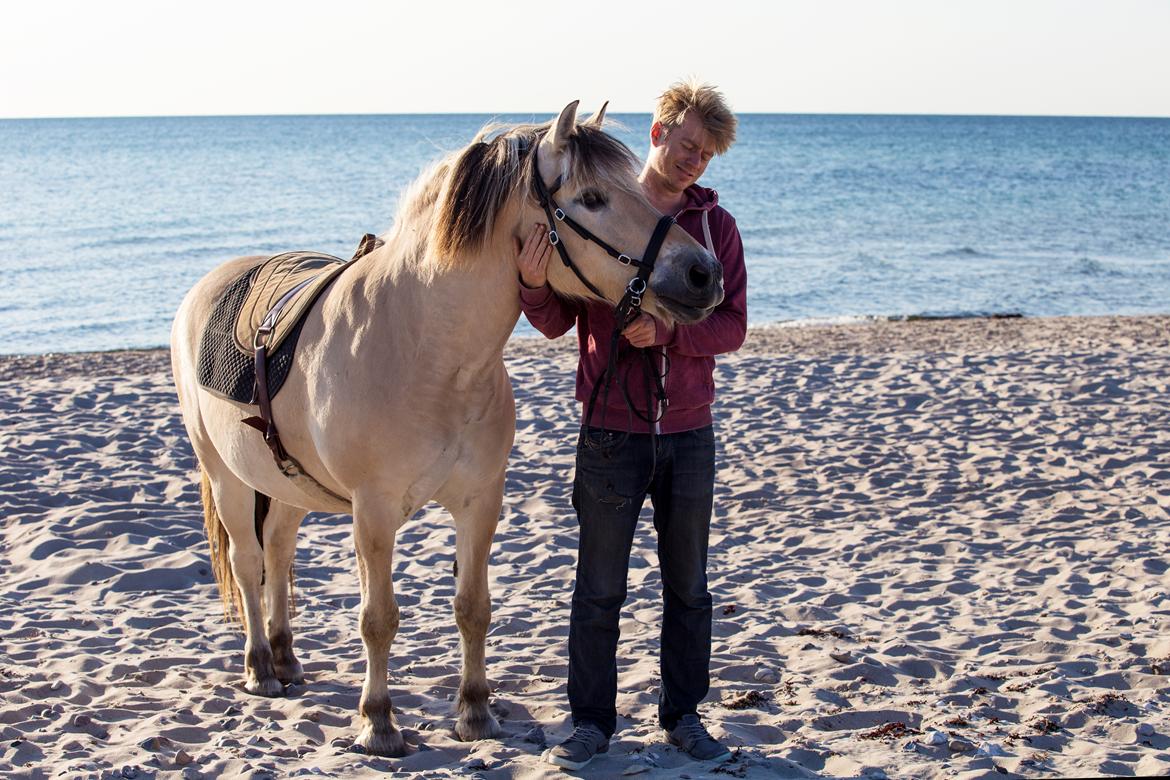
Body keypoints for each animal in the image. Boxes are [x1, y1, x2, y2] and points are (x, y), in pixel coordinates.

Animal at [170, 100, 725, 753]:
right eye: (591, 198)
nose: (703, 272)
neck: (424, 348)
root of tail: (208, 284)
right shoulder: (374, 511)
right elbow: (378, 619)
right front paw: (379, 722)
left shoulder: (479, 502)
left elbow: (472, 608)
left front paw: (475, 711)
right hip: (226, 477)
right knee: (248, 562)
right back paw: (260, 666)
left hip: (287, 483)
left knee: (279, 550)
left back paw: (286, 658)